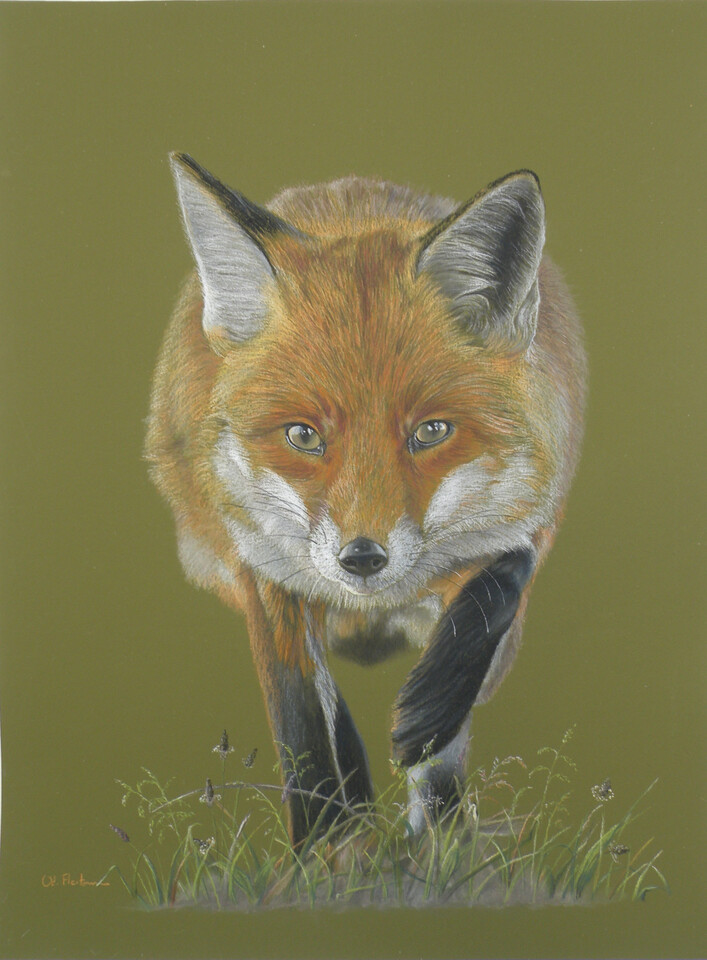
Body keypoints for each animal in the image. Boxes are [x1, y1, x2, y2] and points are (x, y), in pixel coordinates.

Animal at [145, 153, 586, 844]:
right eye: (303, 436)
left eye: (430, 432)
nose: (362, 558)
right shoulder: (261, 569)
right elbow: (302, 729)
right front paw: (324, 846)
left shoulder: (531, 518)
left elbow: (503, 581)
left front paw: (430, 745)